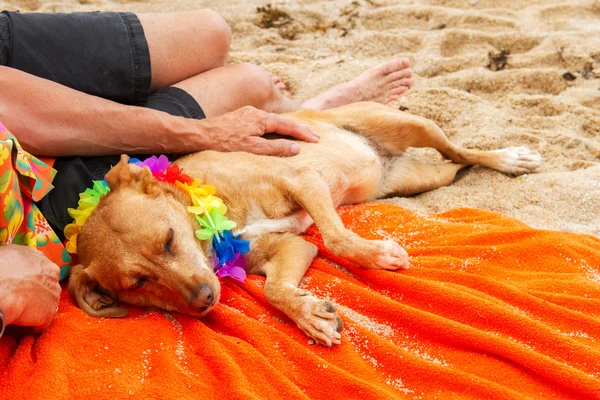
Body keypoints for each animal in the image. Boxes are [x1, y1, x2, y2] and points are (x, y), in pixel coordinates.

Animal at [68, 101, 540, 346]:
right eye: (137, 284)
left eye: (168, 240)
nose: (205, 299)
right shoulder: (292, 246)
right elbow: (276, 289)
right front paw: (309, 315)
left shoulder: (301, 179)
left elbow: (338, 237)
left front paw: (376, 255)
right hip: (416, 179)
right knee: (455, 167)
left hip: (411, 124)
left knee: (462, 151)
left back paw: (508, 158)